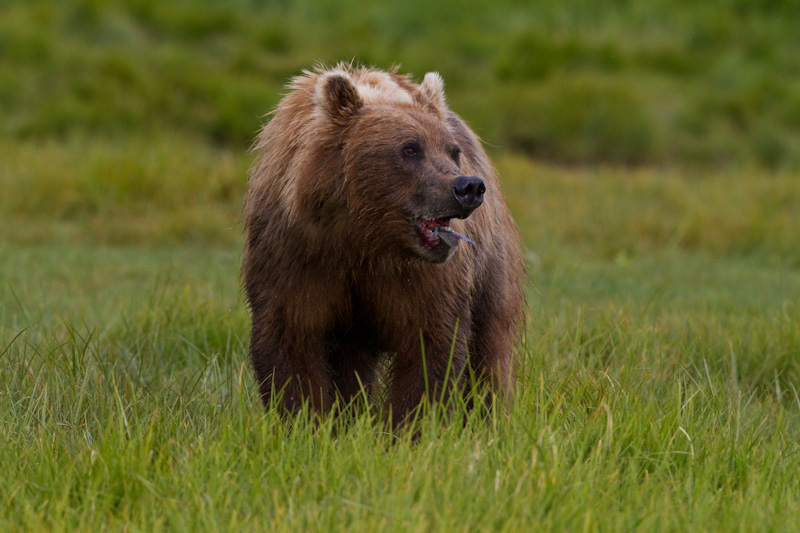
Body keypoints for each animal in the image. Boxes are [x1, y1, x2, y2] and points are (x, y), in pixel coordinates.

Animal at [241, 63, 520, 428]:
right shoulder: (295, 255)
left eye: (452, 151)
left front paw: (410, 427)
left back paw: (488, 417)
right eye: (410, 148)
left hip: (489, 264)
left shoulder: (424, 279)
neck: (363, 239)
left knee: (489, 343)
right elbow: (290, 337)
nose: (468, 187)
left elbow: (431, 345)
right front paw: (308, 421)